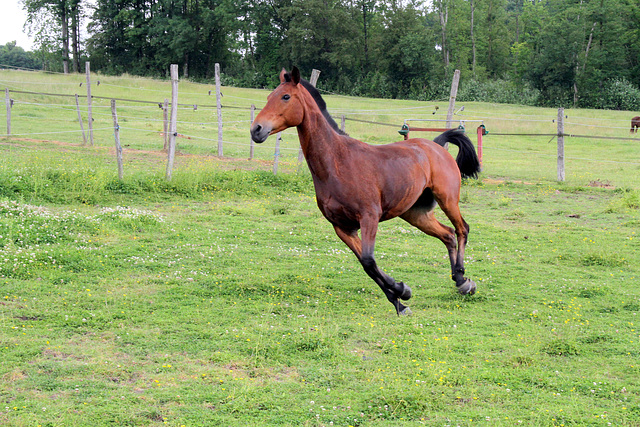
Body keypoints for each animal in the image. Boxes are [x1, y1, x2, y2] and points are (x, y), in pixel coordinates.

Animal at [250, 67, 480, 314]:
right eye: (268, 97)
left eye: (285, 97)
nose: (256, 129)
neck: (337, 163)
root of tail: (436, 145)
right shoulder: (342, 227)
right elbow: (366, 264)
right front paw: (400, 301)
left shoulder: (369, 216)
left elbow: (369, 260)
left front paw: (401, 290)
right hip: (415, 214)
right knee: (448, 235)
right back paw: (459, 280)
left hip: (447, 199)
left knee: (462, 229)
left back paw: (464, 280)